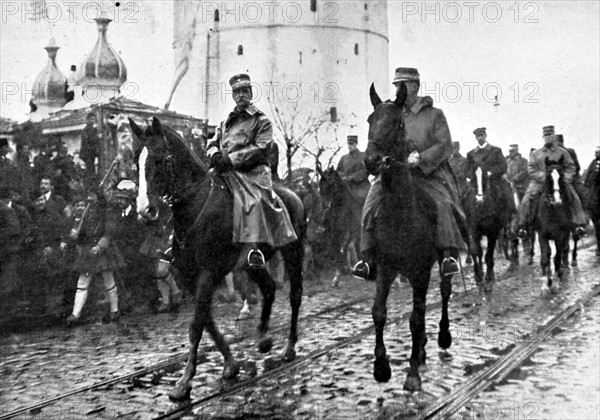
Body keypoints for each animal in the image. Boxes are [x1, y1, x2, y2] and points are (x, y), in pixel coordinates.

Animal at [131, 117, 304, 400]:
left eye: (159, 159)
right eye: (137, 160)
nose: (145, 210)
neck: (196, 205)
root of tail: (290, 193)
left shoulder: (208, 273)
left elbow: (196, 325)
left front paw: (183, 383)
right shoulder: (190, 276)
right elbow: (207, 321)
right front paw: (230, 365)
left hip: (293, 252)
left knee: (295, 295)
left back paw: (288, 347)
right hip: (251, 263)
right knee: (268, 288)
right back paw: (263, 338)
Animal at [364, 83, 452, 392]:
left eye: (396, 123)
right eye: (370, 120)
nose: (371, 161)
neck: (401, 213)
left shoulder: (421, 271)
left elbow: (415, 318)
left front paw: (412, 373)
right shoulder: (386, 268)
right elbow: (379, 312)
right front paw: (381, 367)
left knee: (443, 293)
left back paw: (441, 337)